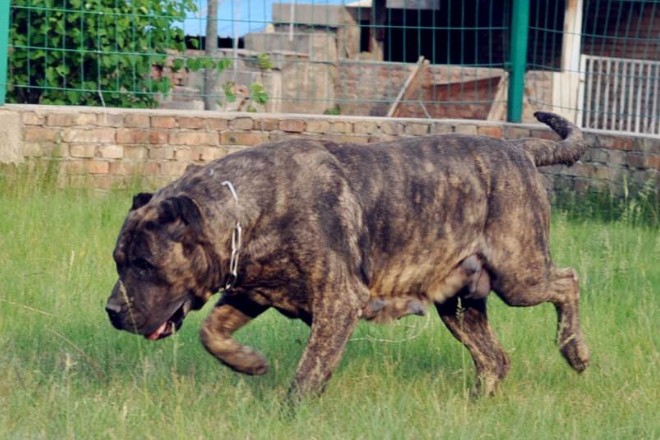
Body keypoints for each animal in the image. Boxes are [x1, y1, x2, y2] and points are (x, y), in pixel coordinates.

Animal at [105, 111, 592, 400]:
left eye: (144, 264)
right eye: (117, 260)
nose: (111, 310)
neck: (250, 209)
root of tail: (519, 148)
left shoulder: (337, 302)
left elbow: (308, 373)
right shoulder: (249, 292)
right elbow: (212, 332)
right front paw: (249, 363)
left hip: (519, 274)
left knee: (567, 280)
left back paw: (575, 350)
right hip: (458, 302)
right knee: (494, 358)